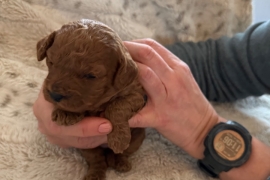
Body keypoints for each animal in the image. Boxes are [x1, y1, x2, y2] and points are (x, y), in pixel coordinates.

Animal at [36, 19, 146, 180]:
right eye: (51, 62)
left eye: (90, 76)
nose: (54, 95)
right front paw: (67, 113)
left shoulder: (138, 94)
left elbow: (117, 106)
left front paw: (118, 139)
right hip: (86, 145)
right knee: (97, 159)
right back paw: (95, 174)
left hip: (137, 137)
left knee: (123, 152)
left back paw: (119, 161)